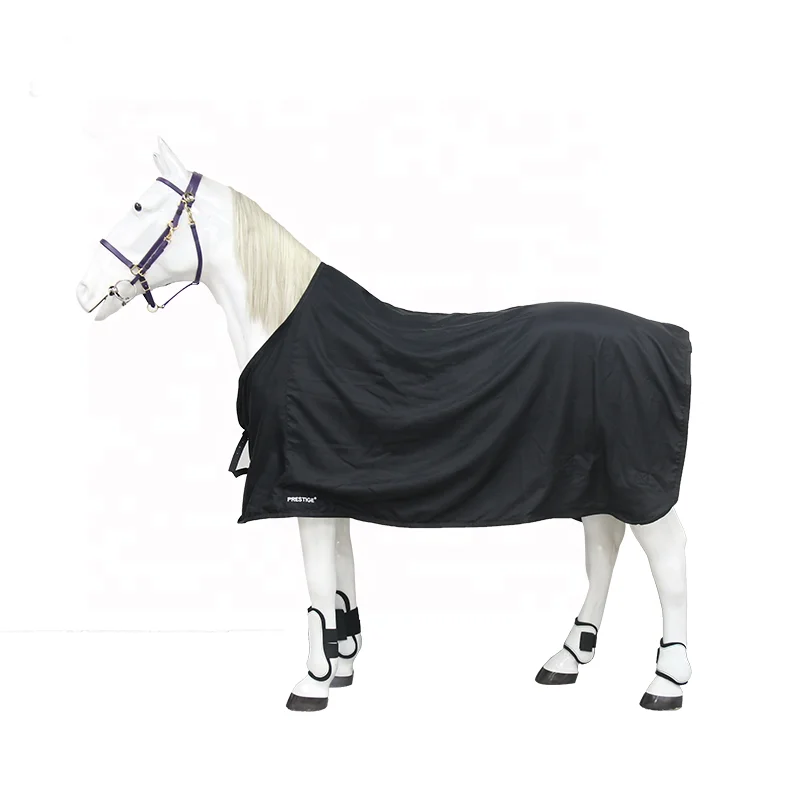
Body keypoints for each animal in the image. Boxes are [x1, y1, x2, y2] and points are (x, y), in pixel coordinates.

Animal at [76, 138, 692, 712]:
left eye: (139, 205)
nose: (83, 292)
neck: (287, 329)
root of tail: (666, 333)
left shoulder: (299, 491)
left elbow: (317, 582)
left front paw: (311, 683)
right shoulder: (332, 492)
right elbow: (340, 578)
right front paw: (341, 663)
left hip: (638, 484)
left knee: (668, 557)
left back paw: (666, 681)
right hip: (597, 480)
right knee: (604, 548)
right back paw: (566, 658)